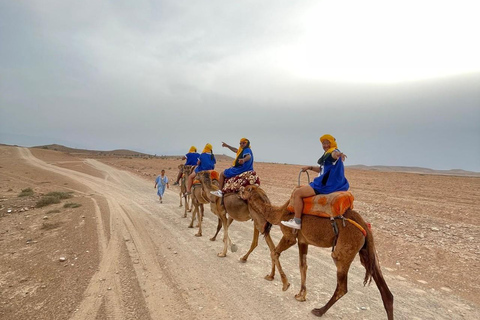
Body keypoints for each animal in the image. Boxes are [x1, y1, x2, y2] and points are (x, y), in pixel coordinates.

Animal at [240, 185, 394, 320]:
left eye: (248, 188)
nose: (240, 189)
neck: (279, 213)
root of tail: (364, 226)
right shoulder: (303, 241)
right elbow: (302, 266)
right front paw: (300, 295)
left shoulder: (290, 237)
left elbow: (274, 253)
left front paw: (284, 284)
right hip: (366, 251)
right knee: (385, 292)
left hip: (345, 249)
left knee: (342, 286)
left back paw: (319, 311)